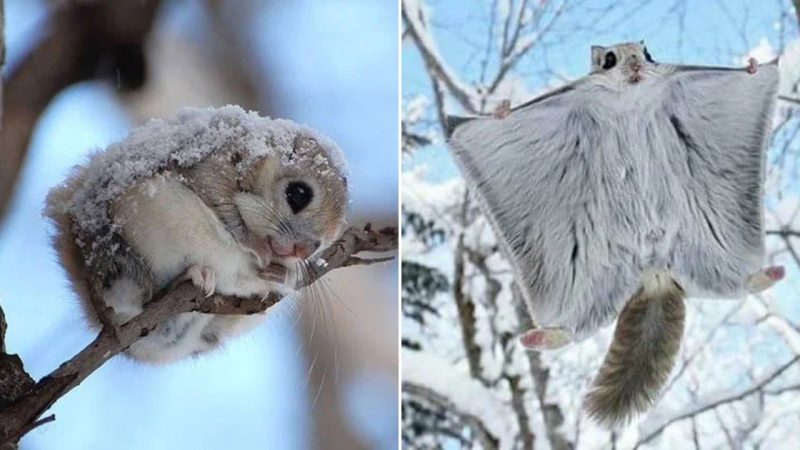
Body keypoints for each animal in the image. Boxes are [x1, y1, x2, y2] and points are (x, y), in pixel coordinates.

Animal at [47, 107, 346, 364]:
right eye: (298, 193)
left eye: (327, 239)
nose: (303, 251)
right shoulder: (212, 169)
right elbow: (227, 212)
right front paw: (257, 247)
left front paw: (284, 274)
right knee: (146, 297)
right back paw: (191, 276)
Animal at [446, 41, 784, 426]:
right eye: (608, 59)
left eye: (648, 53)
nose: (635, 63)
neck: (629, 100)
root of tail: (654, 276)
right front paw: (501, 111)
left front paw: (754, 67)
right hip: (586, 288)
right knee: (571, 330)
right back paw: (541, 338)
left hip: (711, 256)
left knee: (740, 284)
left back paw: (769, 274)